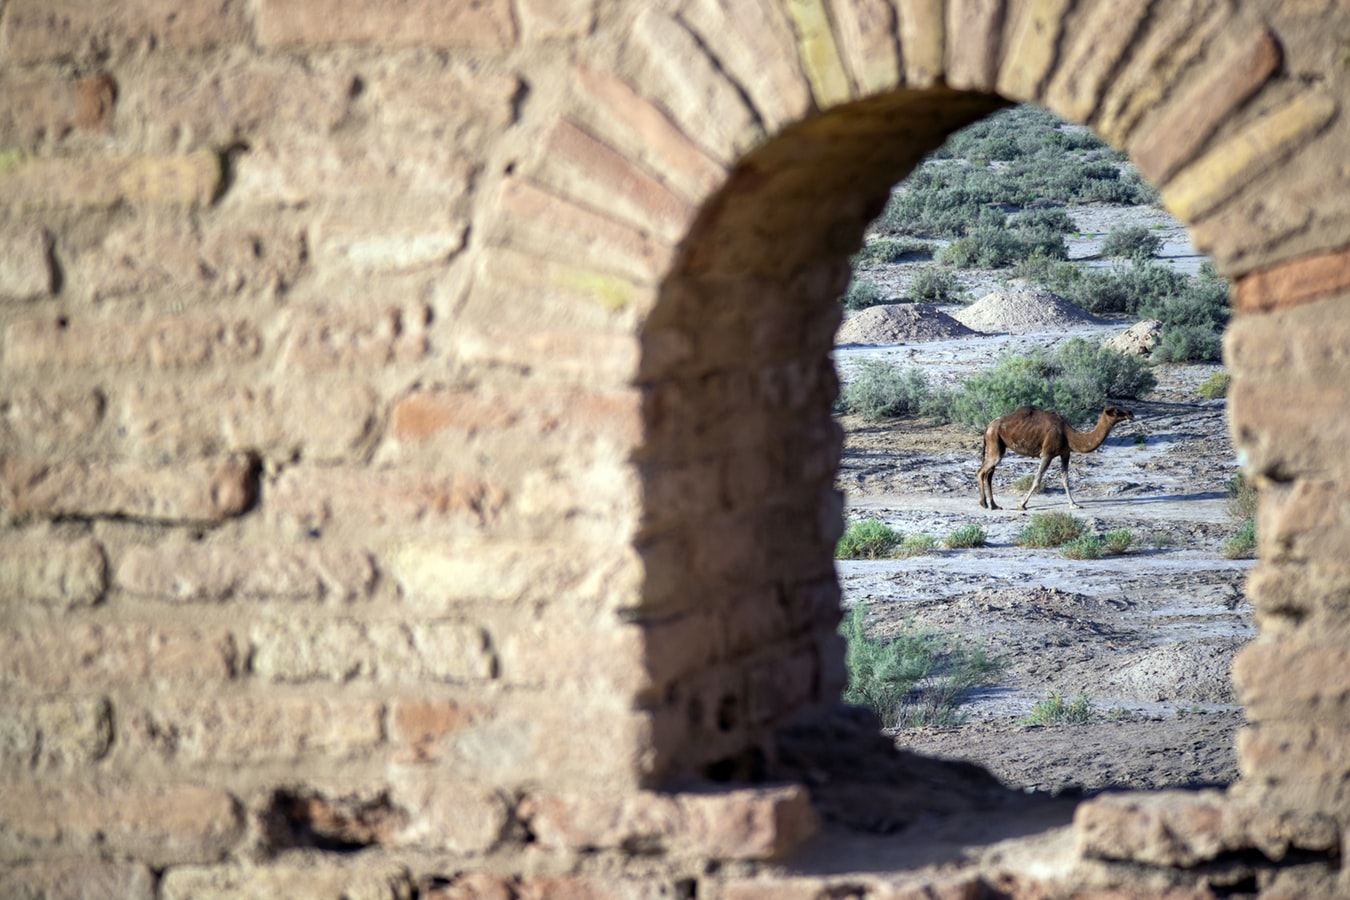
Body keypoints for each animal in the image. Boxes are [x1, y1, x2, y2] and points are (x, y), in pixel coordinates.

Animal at [977, 404, 1134, 510]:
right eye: (1116, 411)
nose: (1131, 413)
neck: (1069, 435)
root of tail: (987, 426)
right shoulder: (1047, 453)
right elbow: (1037, 479)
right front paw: (1021, 505)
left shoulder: (1065, 453)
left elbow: (1065, 480)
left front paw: (1074, 504)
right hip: (995, 442)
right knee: (981, 471)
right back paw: (984, 503)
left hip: (998, 445)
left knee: (988, 473)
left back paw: (994, 505)